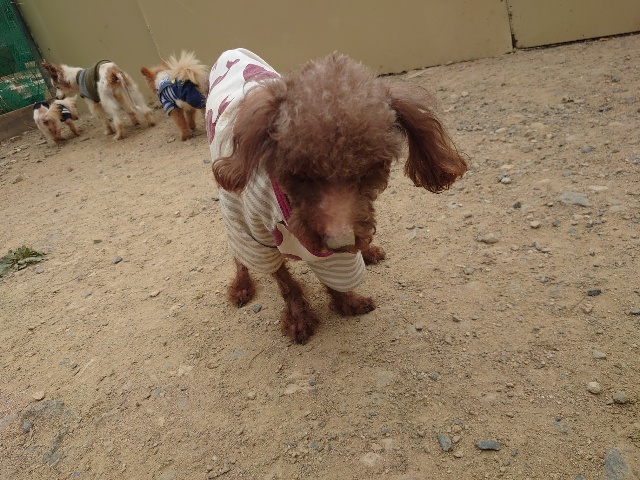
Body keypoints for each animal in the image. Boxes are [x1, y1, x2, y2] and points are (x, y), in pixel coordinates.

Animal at [207, 48, 467, 344]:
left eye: (373, 168)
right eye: (299, 173)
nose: (339, 243)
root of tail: (231, 53)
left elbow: (336, 278)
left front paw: (347, 302)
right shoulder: (259, 239)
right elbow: (285, 282)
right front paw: (299, 318)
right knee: (239, 256)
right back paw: (241, 286)